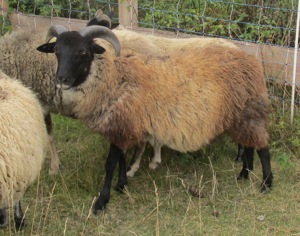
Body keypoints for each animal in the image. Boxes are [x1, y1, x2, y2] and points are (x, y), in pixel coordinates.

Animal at [36, 25, 274, 212]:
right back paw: (244, 174)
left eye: (83, 51)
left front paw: (102, 201)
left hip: (248, 112)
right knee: (249, 145)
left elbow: (110, 163)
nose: (61, 79)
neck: (113, 78)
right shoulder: (125, 125)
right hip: (241, 114)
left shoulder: (121, 124)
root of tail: (251, 60)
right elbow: (122, 159)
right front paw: (121, 185)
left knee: (262, 148)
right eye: (56, 51)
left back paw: (266, 184)